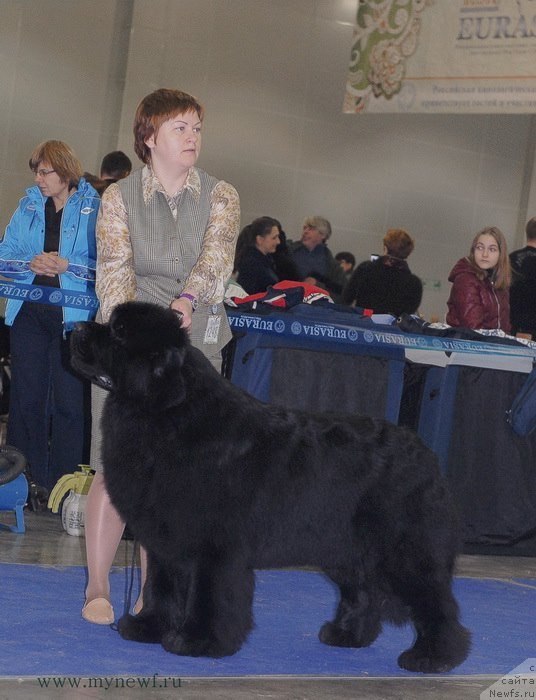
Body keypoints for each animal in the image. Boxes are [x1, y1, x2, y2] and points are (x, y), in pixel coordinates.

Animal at [70, 302, 468, 672]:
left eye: (119, 333)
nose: (75, 329)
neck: (168, 415)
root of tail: (426, 453)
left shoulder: (214, 547)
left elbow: (208, 596)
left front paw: (198, 641)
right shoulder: (165, 539)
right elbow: (160, 587)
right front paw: (148, 627)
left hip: (403, 551)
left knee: (436, 603)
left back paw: (433, 656)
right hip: (346, 550)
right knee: (364, 593)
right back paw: (347, 635)